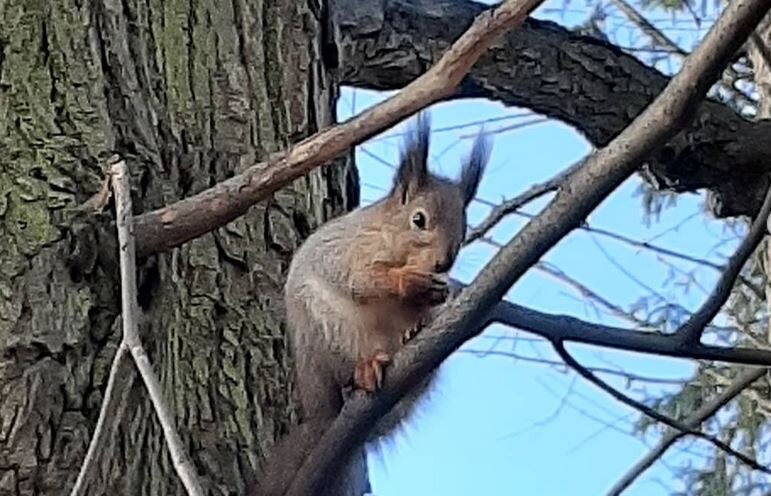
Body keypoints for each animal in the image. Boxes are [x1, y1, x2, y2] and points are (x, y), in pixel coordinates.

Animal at [255, 113, 494, 496]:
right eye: (419, 219)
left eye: (465, 226)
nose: (444, 262)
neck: (391, 240)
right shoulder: (348, 253)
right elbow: (363, 281)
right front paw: (407, 281)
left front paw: (431, 302)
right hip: (328, 331)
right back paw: (364, 370)